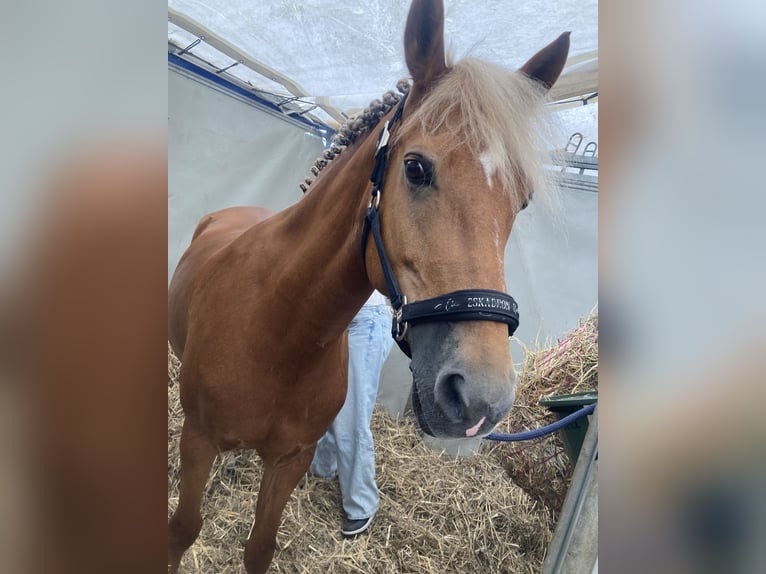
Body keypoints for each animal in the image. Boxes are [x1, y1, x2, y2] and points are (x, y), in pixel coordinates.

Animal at [170, 2, 576, 572]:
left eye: (521, 200)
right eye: (415, 167)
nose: (483, 398)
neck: (276, 329)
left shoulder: (288, 462)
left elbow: (259, 549)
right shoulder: (198, 440)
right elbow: (182, 529)